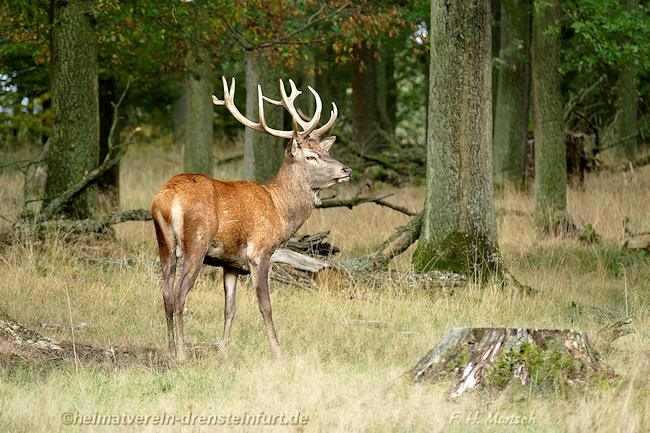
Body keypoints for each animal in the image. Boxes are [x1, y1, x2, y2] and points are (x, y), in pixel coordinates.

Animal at [151, 76, 350, 360]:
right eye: (311, 156)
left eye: (326, 153)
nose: (346, 170)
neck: (279, 210)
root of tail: (166, 198)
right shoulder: (260, 251)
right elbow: (265, 305)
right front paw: (278, 351)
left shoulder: (231, 263)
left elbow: (230, 309)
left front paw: (224, 350)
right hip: (196, 243)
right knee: (179, 296)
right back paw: (181, 353)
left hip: (164, 244)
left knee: (166, 295)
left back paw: (169, 349)